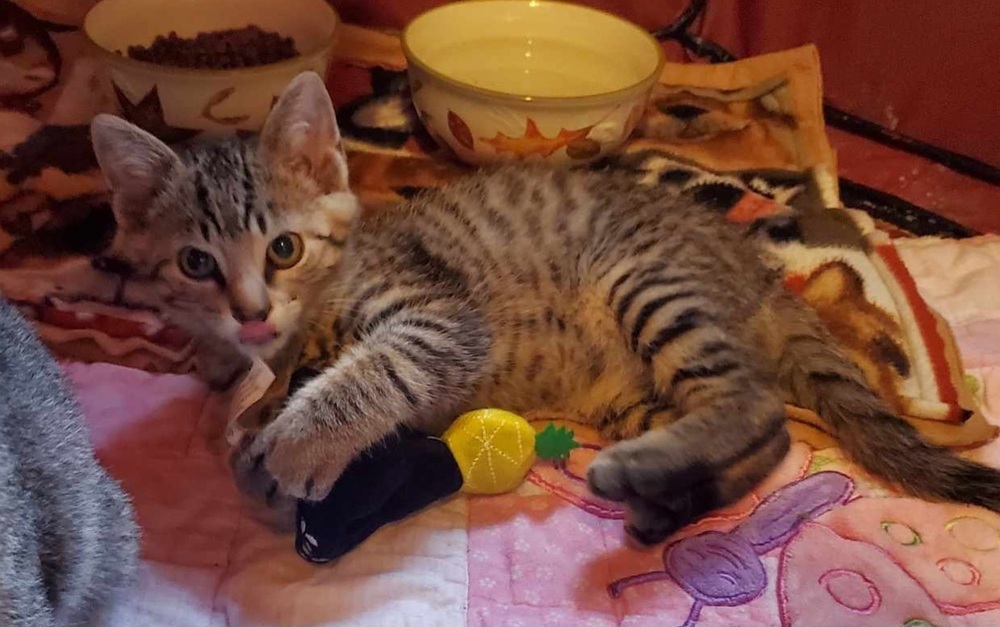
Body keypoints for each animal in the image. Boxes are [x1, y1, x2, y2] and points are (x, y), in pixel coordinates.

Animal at [88, 71, 1000, 544]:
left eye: (283, 248)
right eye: (197, 263)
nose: (249, 312)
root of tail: (755, 262)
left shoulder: (441, 317)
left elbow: (371, 371)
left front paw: (295, 443)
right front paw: (248, 414)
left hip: (645, 283)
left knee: (751, 400)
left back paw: (648, 476)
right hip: (632, 391)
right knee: (772, 433)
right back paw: (663, 494)